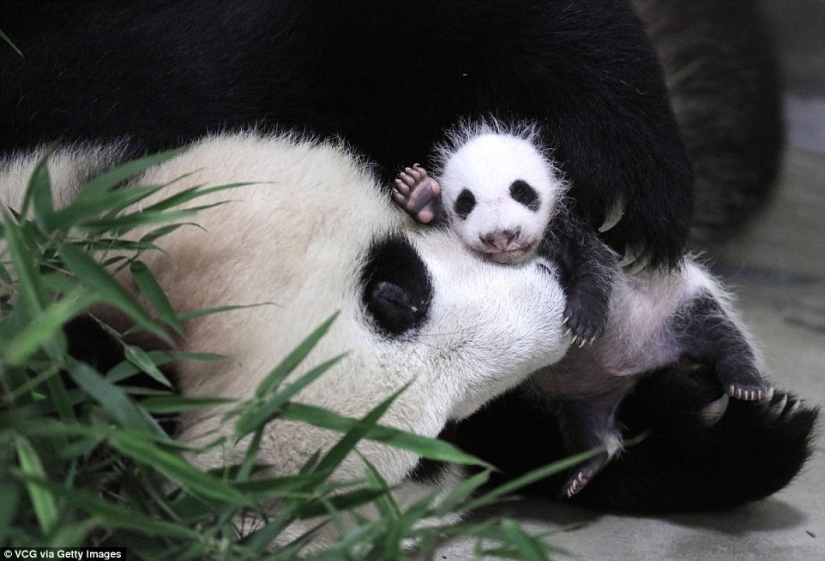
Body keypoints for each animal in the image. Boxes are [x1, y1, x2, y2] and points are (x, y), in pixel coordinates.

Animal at [392, 121, 772, 494]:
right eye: (466, 202)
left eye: (522, 192)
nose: (501, 236)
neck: (524, 254)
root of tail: (633, 370)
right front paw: (419, 194)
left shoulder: (572, 231)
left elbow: (596, 266)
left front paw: (584, 322)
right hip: (581, 398)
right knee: (586, 425)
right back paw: (587, 466)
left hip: (675, 305)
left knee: (720, 334)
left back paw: (745, 382)